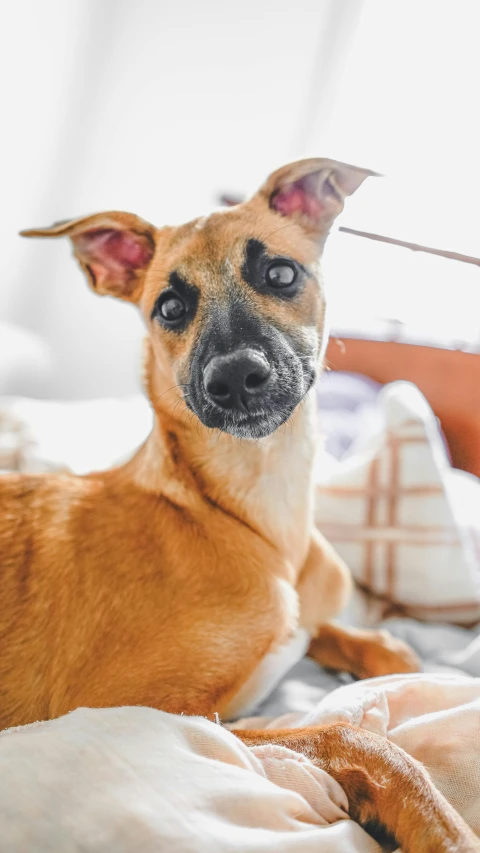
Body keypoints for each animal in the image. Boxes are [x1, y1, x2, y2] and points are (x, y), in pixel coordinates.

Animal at [0, 158, 474, 844]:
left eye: (280, 273)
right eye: (170, 307)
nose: (234, 379)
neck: (253, 516)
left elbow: (371, 645)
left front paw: (410, 661)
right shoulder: (150, 711)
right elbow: (354, 736)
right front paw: (439, 826)